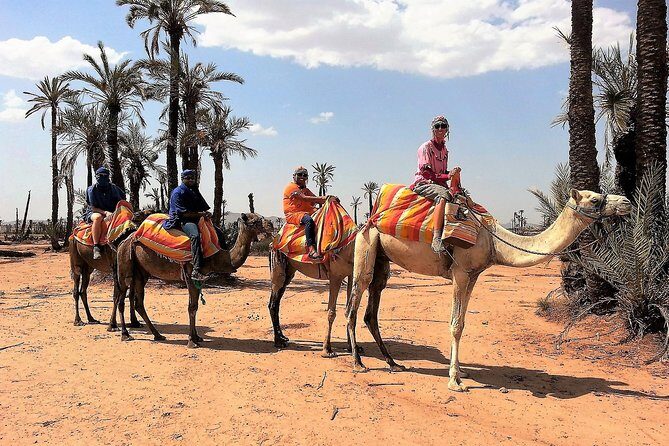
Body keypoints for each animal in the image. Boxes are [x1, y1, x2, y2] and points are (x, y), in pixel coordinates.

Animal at [116, 213, 272, 347]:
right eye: (255, 221)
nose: (270, 225)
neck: (215, 256)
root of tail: (124, 241)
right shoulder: (190, 275)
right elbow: (191, 307)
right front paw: (191, 341)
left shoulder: (199, 279)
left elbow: (195, 306)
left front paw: (197, 337)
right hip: (124, 266)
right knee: (121, 299)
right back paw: (125, 334)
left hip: (141, 273)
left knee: (139, 303)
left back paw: (158, 335)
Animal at [345, 189, 632, 391]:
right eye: (594, 199)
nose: (627, 202)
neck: (494, 241)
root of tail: (368, 220)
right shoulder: (460, 272)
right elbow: (455, 326)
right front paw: (454, 381)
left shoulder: (473, 276)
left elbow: (462, 324)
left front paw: (461, 372)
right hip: (366, 249)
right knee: (352, 306)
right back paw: (358, 362)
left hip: (382, 260)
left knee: (371, 311)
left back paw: (393, 363)